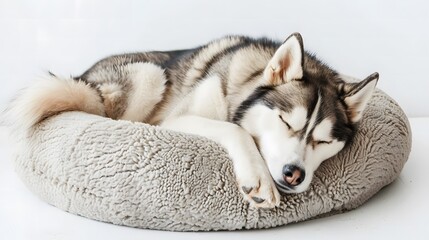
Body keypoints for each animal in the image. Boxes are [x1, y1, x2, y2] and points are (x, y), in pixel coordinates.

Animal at [7, 32, 378, 208]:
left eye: (324, 140)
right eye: (286, 122)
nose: (294, 173)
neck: (242, 85)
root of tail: (83, 76)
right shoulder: (176, 120)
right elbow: (234, 129)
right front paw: (257, 178)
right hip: (148, 75)